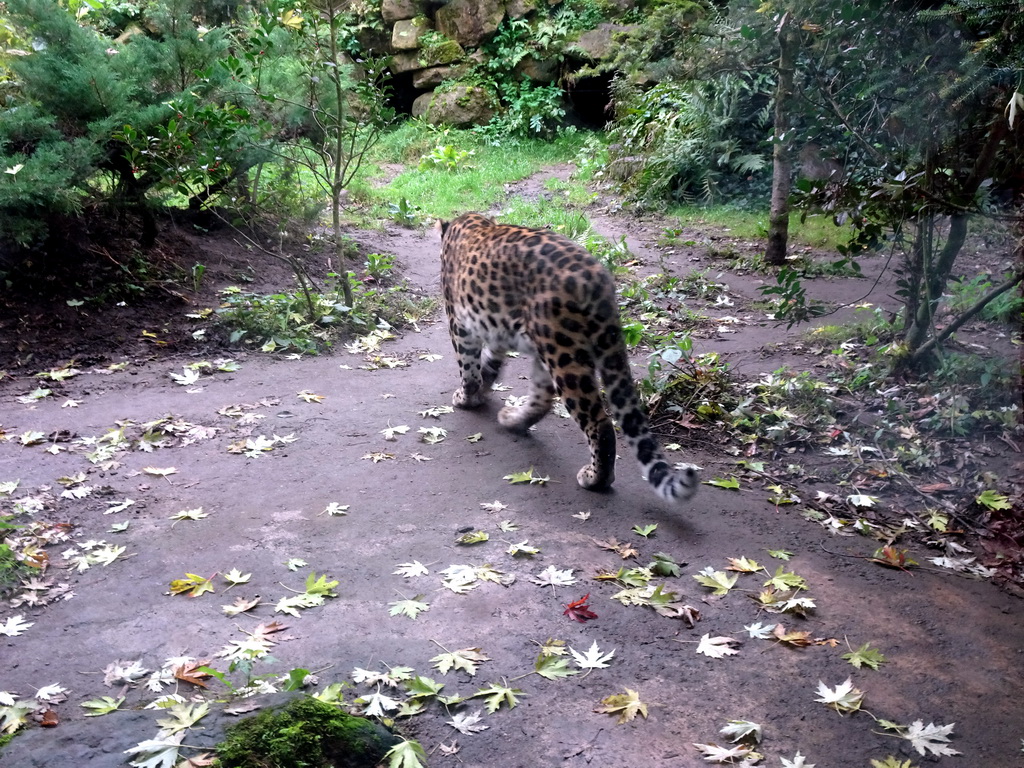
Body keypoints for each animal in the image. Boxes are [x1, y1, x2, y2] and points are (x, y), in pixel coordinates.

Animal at [436, 211, 700, 505]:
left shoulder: (459, 322)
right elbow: (489, 365)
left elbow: (468, 366)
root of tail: (598, 281)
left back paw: (595, 479)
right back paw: (513, 421)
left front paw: (465, 397)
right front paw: (481, 390)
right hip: (548, 347)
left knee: (599, 422)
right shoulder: (496, 331)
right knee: (543, 399)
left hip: (563, 352)